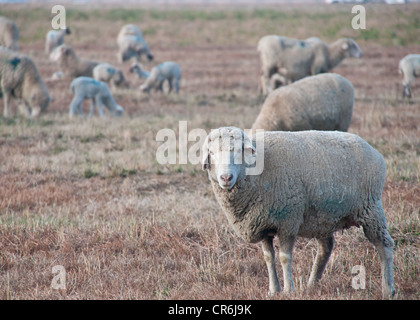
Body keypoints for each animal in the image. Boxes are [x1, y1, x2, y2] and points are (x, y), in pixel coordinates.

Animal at [202, 127, 396, 298]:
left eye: (239, 151)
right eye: (211, 152)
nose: (226, 178)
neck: (255, 175)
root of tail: (373, 150)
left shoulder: (288, 221)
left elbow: (284, 258)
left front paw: (289, 290)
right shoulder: (262, 223)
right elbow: (268, 258)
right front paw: (273, 290)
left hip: (370, 208)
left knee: (384, 245)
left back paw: (388, 289)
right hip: (323, 218)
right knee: (326, 248)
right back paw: (311, 285)